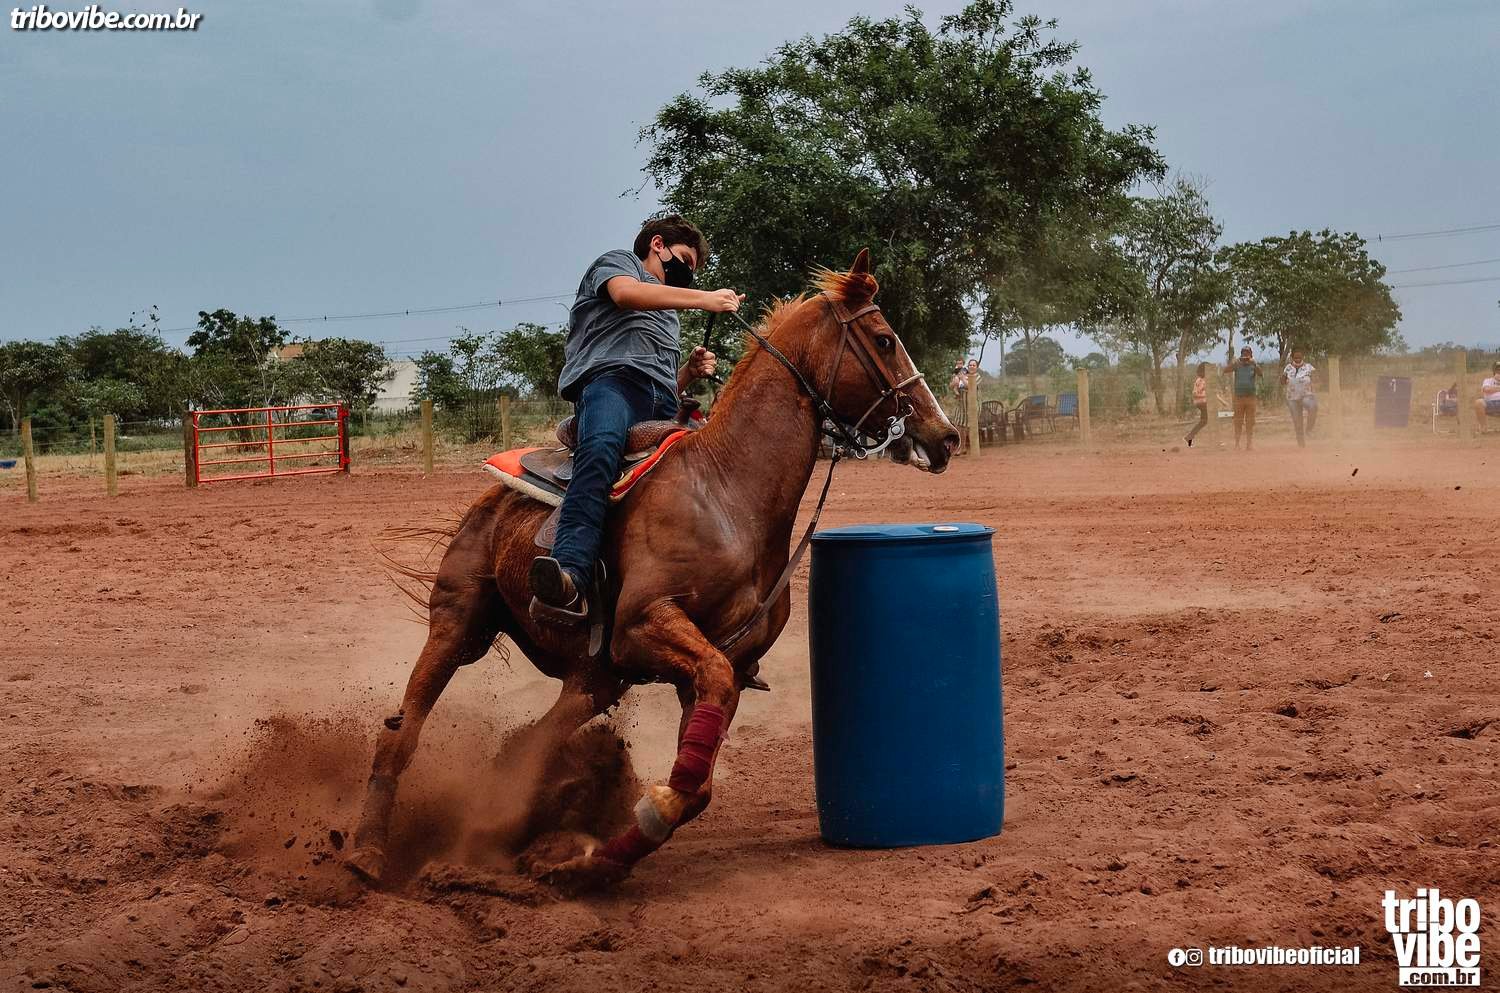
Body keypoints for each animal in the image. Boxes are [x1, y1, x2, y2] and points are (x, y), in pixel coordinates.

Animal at [348, 249, 961, 892]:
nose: (944, 436)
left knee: (526, 747)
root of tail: (491, 499)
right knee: (401, 736)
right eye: (885, 339)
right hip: (460, 624)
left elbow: (698, 786)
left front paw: (593, 862)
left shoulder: (721, 667)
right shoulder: (647, 626)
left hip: (595, 679)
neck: (727, 490)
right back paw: (367, 854)